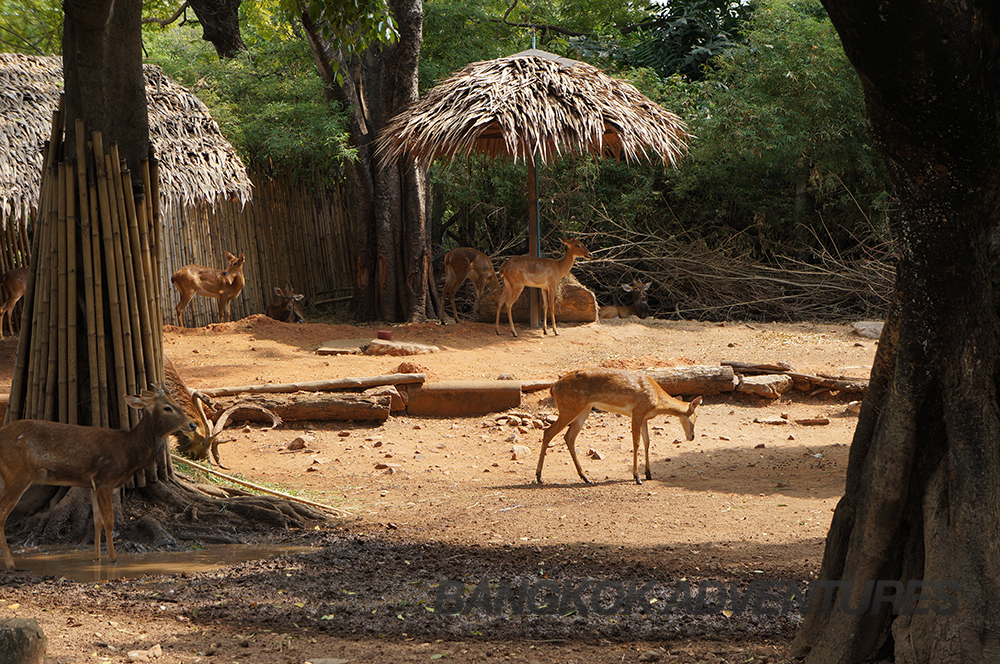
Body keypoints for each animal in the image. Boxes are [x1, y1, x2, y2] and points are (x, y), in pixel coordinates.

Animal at [0, 386, 198, 568]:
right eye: (167, 407)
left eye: (177, 403)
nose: (193, 425)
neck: (128, 452)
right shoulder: (105, 479)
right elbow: (109, 521)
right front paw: (113, 558)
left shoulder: (93, 484)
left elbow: (97, 521)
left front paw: (96, 558)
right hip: (17, 473)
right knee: (2, 516)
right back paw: (11, 564)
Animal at [540, 366, 704, 486]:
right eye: (695, 416)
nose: (692, 436)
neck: (657, 399)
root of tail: (553, 388)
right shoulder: (637, 412)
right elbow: (636, 442)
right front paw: (637, 477)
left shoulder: (644, 417)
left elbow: (647, 442)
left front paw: (649, 474)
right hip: (570, 407)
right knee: (548, 432)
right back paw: (539, 477)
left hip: (584, 409)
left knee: (569, 436)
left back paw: (585, 477)